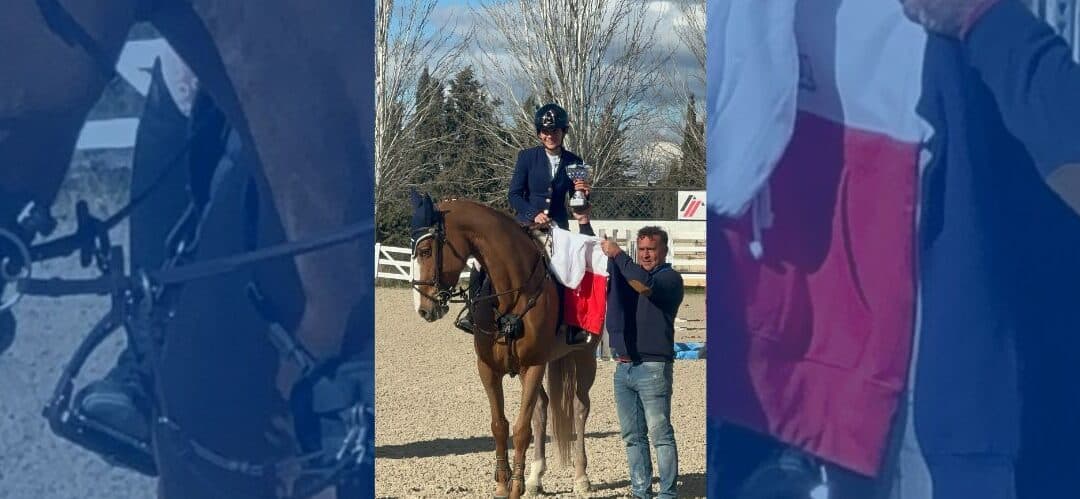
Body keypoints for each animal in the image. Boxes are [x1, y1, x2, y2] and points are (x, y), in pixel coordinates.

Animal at [410, 194, 600, 499]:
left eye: (426, 250)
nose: (423, 309)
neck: (512, 293)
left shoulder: (533, 366)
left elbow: (521, 429)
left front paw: (516, 486)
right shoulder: (488, 369)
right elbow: (500, 425)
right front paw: (503, 482)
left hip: (584, 358)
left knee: (580, 408)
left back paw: (581, 477)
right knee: (542, 409)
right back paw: (535, 477)